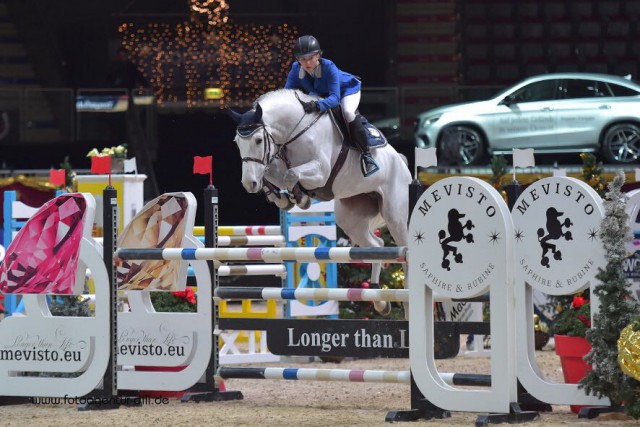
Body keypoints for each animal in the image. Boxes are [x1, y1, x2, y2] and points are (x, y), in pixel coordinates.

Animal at [229, 88, 410, 316]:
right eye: (237, 142)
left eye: (259, 140)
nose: (249, 183)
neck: (293, 133)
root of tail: (401, 162)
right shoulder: (276, 161)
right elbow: (273, 172)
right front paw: (281, 197)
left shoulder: (321, 171)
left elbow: (290, 174)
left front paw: (301, 198)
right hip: (351, 219)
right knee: (377, 245)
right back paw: (379, 300)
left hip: (394, 215)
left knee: (404, 252)